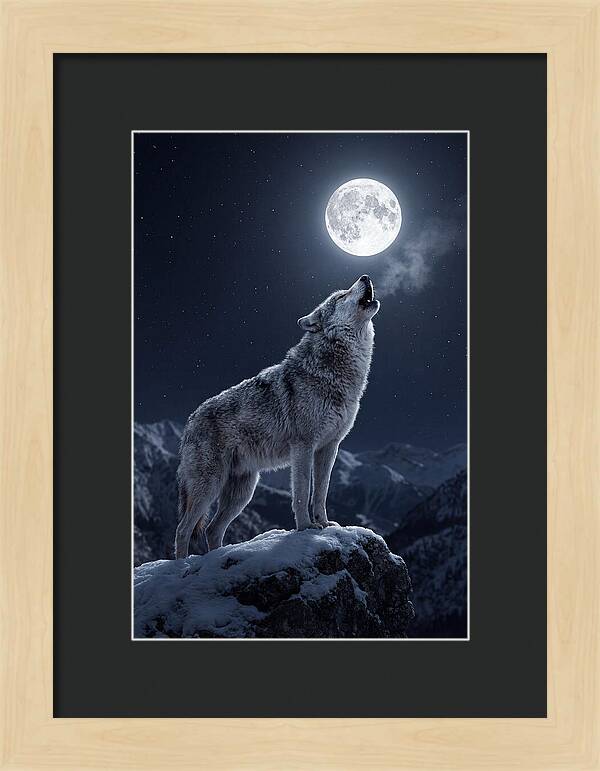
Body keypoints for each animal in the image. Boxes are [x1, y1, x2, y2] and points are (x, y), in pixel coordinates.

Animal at [174, 274, 380, 559]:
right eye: (341, 296)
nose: (365, 277)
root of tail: (189, 421)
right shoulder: (303, 446)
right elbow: (302, 492)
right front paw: (306, 528)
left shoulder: (329, 447)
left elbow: (321, 492)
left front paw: (325, 524)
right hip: (208, 487)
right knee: (183, 529)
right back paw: (181, 565)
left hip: (243, 492)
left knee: (212, 529)